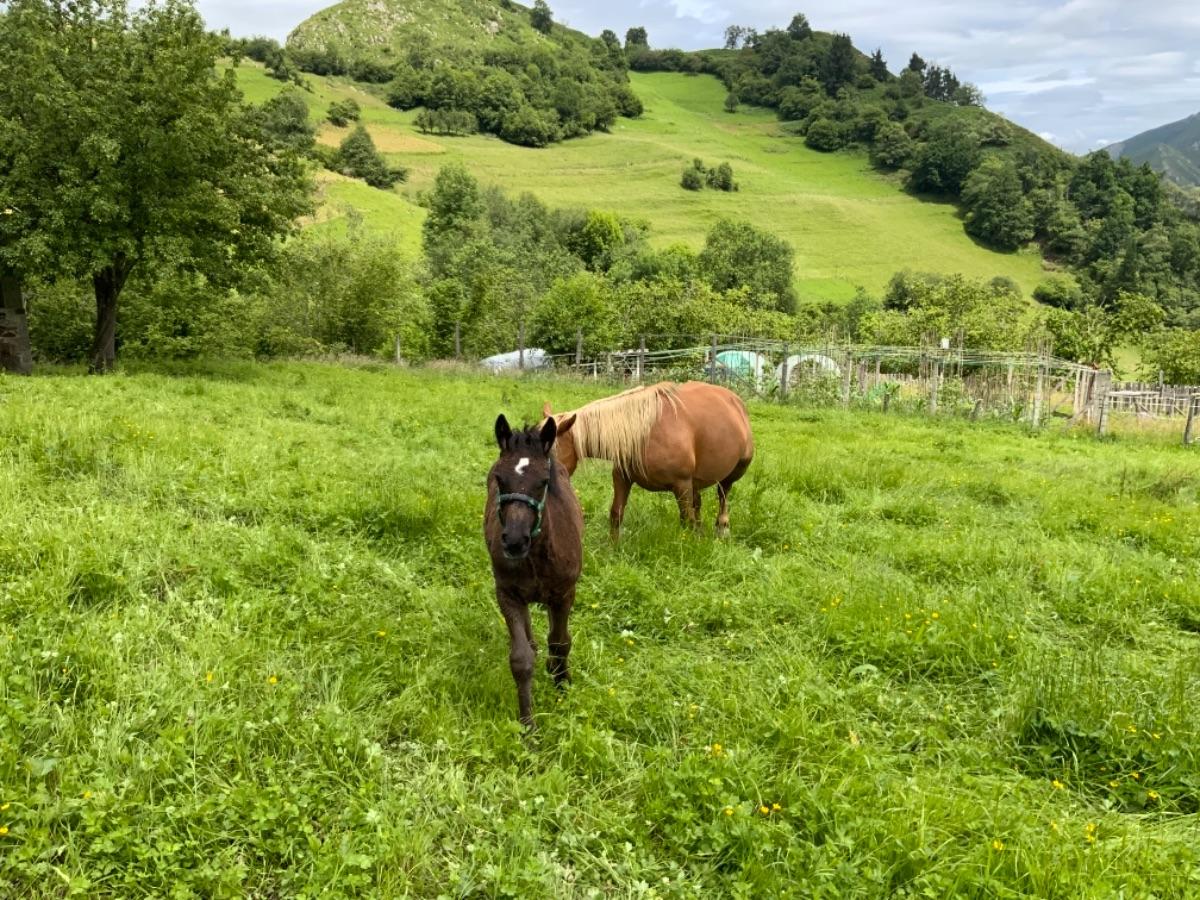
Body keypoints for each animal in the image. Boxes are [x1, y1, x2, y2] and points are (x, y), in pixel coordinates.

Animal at [484, 415, 583, 734]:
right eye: (499, 479)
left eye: (543, 482)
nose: (515, 541)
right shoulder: (507, 594)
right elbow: (521, 659)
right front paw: (528, 726)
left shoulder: (565, 593)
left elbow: (561, 641)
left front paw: (562, 686)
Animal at [542, 381, 748, 540]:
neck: (643, 433)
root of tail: (734, 400)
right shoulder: (622, 478)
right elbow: (616, 514)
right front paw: (614, 548)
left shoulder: (681, 484)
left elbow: (685, 520)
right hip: (695, 482)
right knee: (698, 504)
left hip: (732, 473)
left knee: (723, 496)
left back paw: (722, 529)